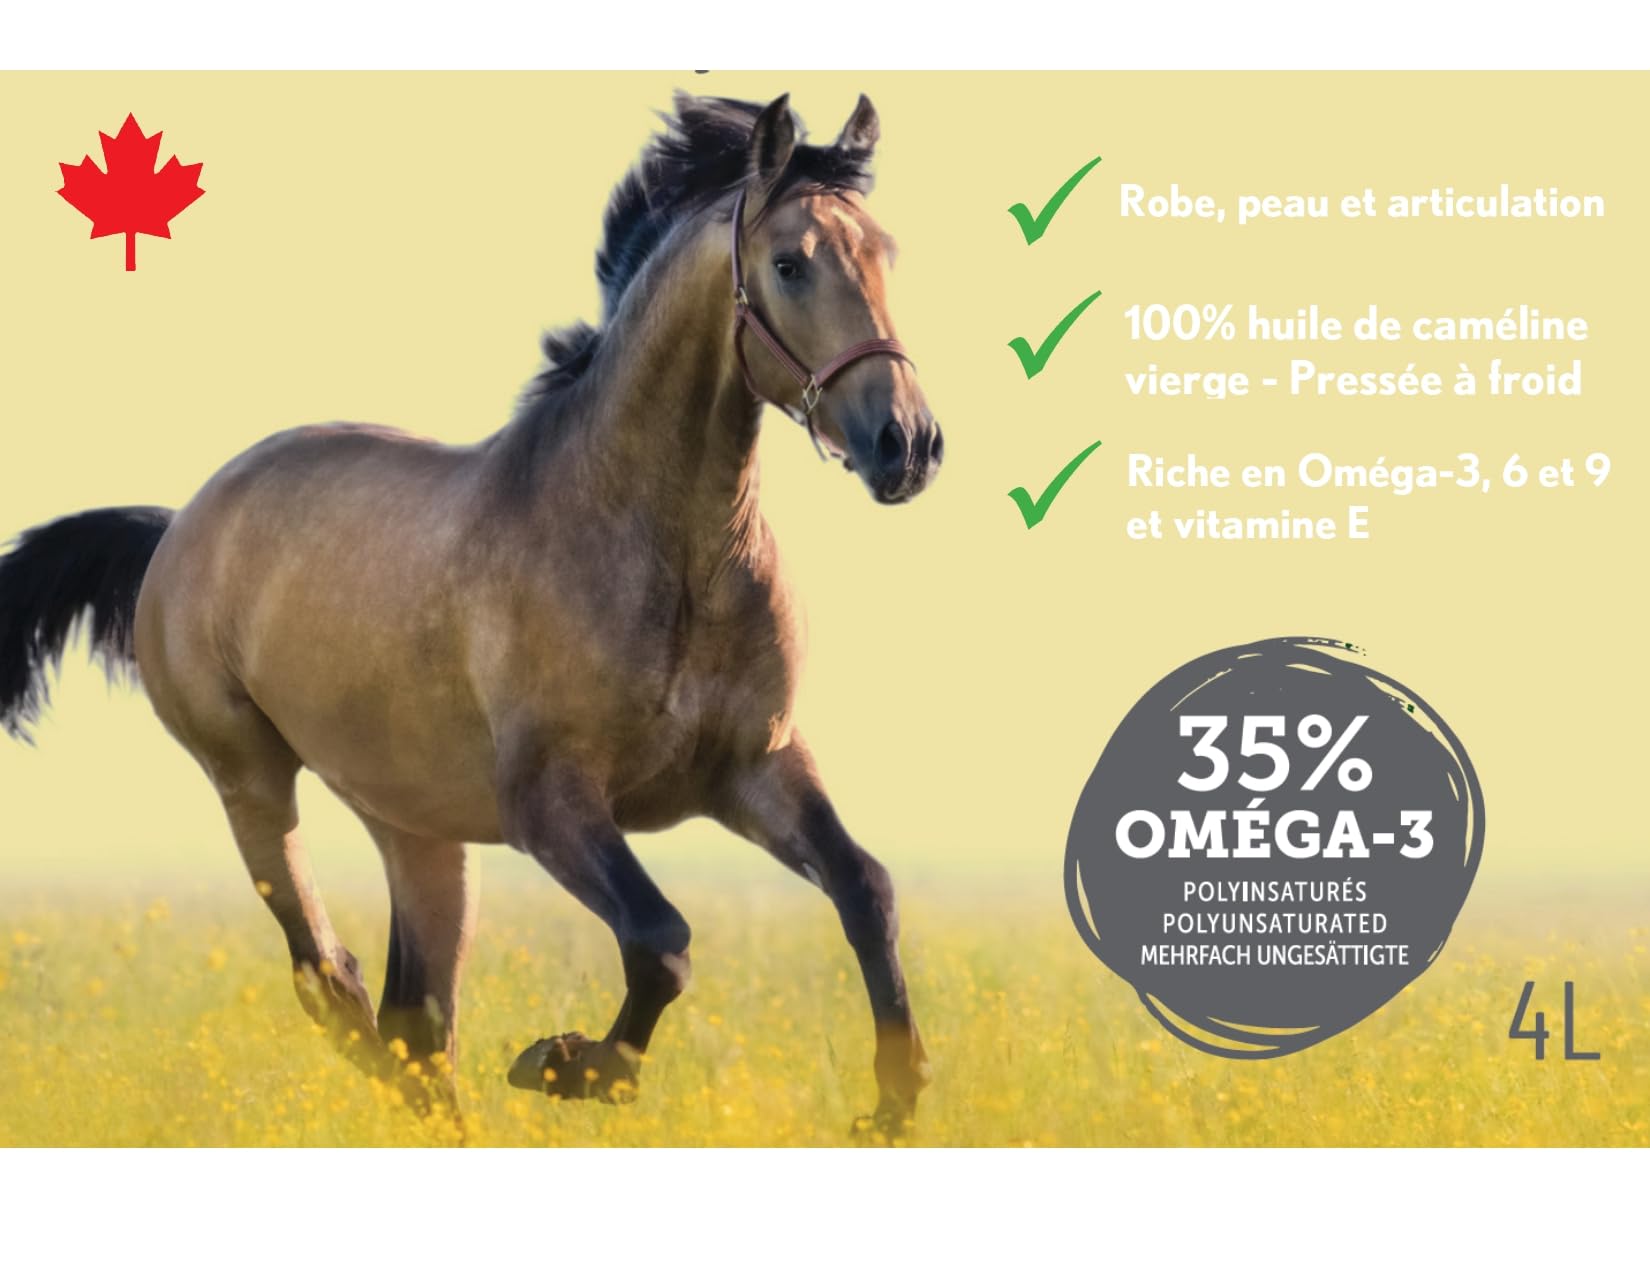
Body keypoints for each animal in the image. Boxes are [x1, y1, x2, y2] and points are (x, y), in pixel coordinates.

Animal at [0, 92, 941, 1135]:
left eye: (884, 254)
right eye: (789, 263)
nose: (906, 444)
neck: (667, 553)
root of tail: (180, 526)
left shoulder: (756, 767)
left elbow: (866, 890)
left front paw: (893, 1105)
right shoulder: (552, 801)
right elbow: (662, 938)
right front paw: (567, 1064)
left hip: (420, 828)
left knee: (419, 1019)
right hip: (250, 779)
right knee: (332, 981)